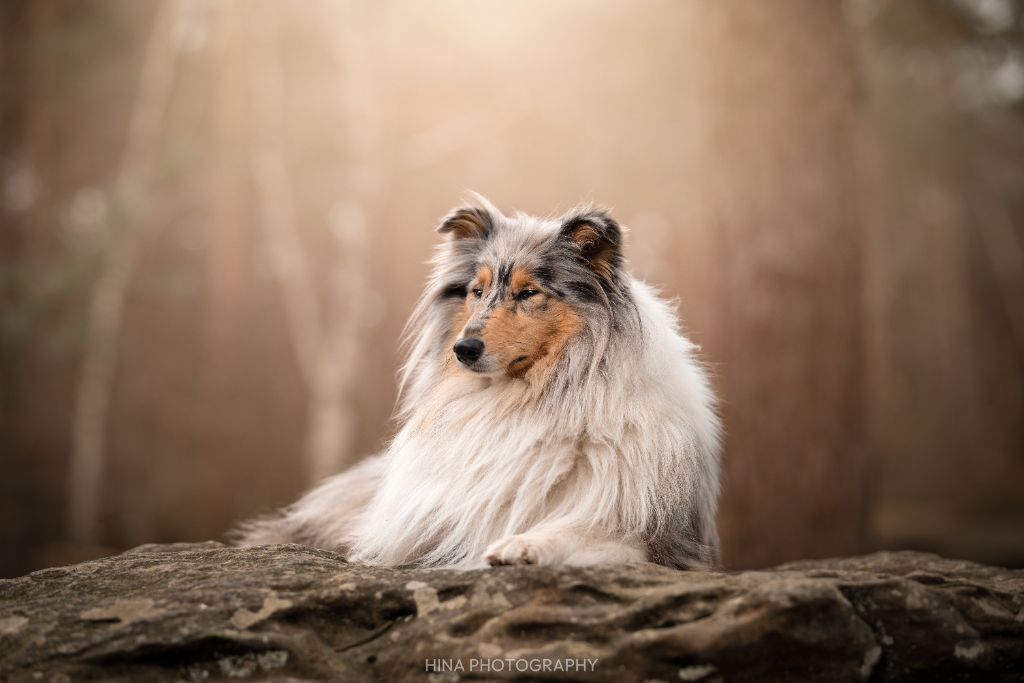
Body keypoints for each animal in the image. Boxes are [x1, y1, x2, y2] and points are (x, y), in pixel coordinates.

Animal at [235, 198, 724, 573]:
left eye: (528, 293)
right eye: (476, 290)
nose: (463, 349)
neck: (527, 397)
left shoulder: (656, 539)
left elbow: (580, 531)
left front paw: (523, 545)